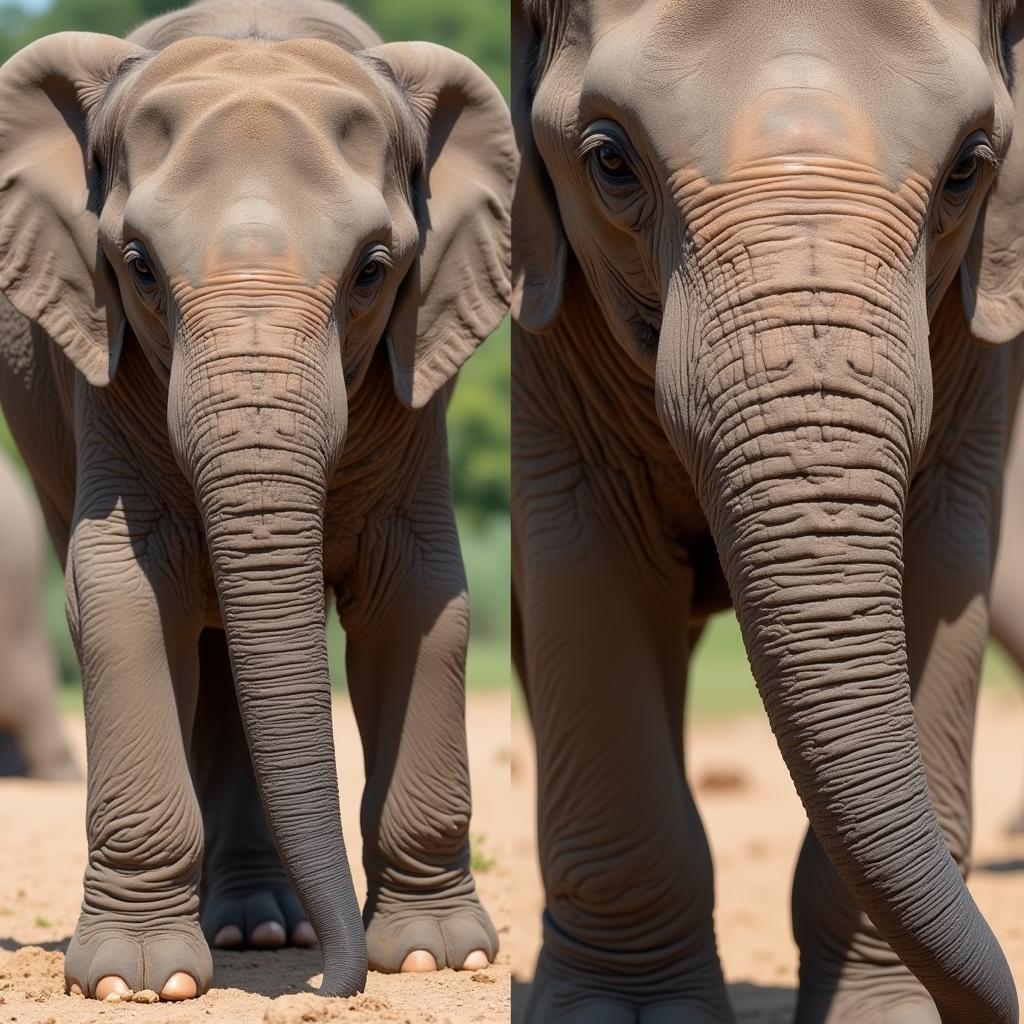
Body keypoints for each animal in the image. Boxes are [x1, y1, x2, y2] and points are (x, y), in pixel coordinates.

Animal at [0, 0, 512, 1007]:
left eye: (372, 271)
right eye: (137, 267)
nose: (333, 988)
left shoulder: (417, 369)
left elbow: (415, 598)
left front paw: (438, 955)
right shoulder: (105, 370)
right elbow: (120, 593)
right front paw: (138, 980)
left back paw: (263, 930)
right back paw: (250, 932)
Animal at [516, 2, 1024, 1024]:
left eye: (967, 167)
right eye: (610, 161)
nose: (999, 1007)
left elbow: (944, 560)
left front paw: (887, 1017)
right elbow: (586, 577)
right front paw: (625, 1015)